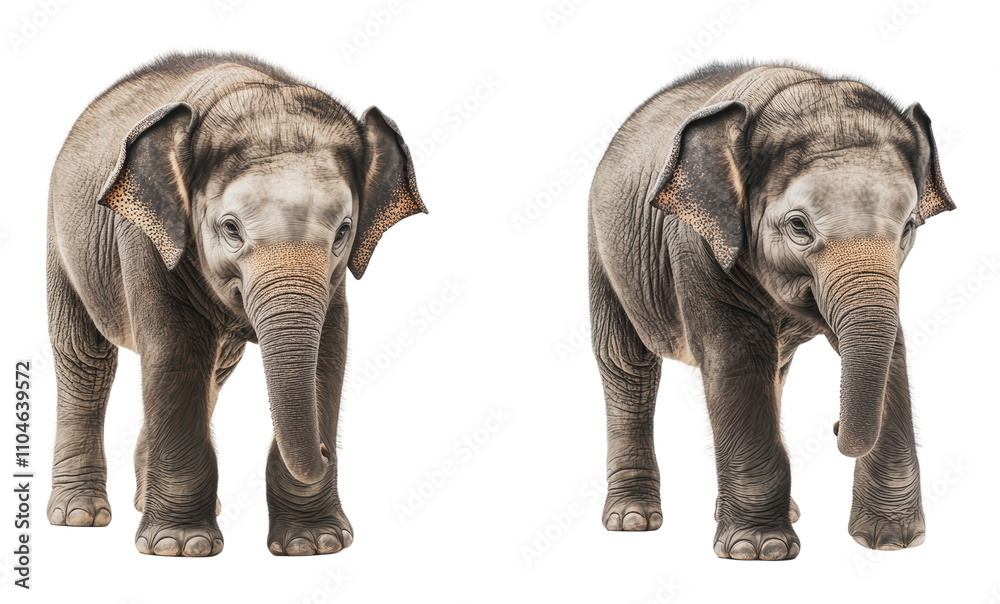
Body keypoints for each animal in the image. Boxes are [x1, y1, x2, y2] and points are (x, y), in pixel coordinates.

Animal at [45, 52, 427, 557]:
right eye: (231, 229)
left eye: (343, 231)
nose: (329, 450)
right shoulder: (146, 239)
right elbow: (174, 353)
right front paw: (179, 547)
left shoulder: (334, 282)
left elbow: (328, 356)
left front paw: (314, 544)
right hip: (60, 239)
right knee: (85, 357)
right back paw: (79, 516)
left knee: (216, 368)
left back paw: (144, 501)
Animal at [588, 62, 954, 560]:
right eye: (799, 226)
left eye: (909, 226)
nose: (835, 427)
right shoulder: (696, 243)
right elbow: (736, 357)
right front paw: (759, 551)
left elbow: (893, 351)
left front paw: (892, 541)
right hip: (603, 248)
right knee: (627, 364)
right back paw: (632, 521)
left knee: (776, 369)